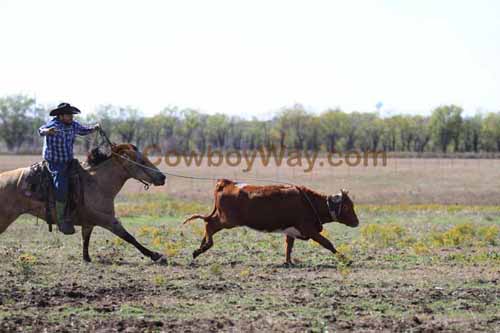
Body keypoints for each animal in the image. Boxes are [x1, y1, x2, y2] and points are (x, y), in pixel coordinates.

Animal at [184, 179, 360, 264]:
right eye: (347, 206)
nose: (357, 222)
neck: (310, 202)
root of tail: (227, 183)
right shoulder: (309, 229)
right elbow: (327, 243)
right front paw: (346, 259)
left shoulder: (292, 230)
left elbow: (289, 247)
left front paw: (288, 262)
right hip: (227, 220)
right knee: (210, 224)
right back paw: (203, 248)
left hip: (225, 219)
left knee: (209, 224)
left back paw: (200, 248)